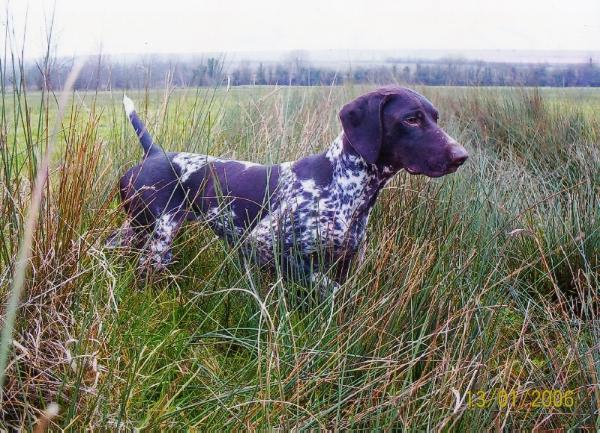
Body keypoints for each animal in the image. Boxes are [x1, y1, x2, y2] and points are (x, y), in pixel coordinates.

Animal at [108, 86, 468, 292]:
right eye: (411, 119)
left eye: (435, 117)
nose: (461, 156)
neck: (344, 186)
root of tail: (155, 153)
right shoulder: (264, 243)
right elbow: (321, 284)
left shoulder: (345, 263)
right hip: (158, 233)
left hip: (141, 230)